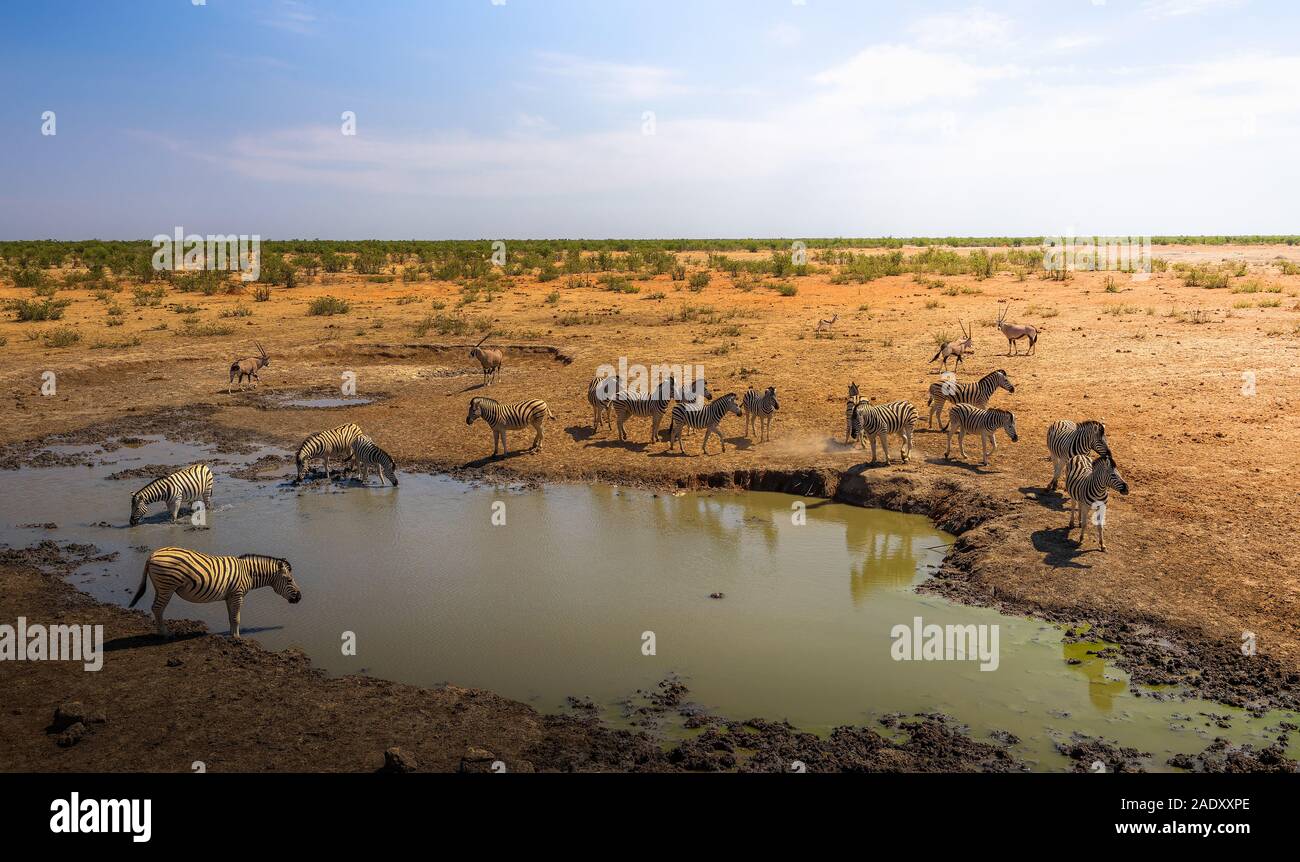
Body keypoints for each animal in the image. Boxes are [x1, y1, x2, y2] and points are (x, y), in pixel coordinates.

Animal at [129, 548, 301, 637]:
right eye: (289, 580)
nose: (299, 597)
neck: (248, 573)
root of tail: (153, 554)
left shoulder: (229, 596)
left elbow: (231, 617)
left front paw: (232, 636)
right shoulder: (237, 595)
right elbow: (237, 618)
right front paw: (238, 638)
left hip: (160, 587)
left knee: (156, 608)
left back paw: (161, 632)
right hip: (167, 586)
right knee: (158, 608)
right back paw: (164, 634)